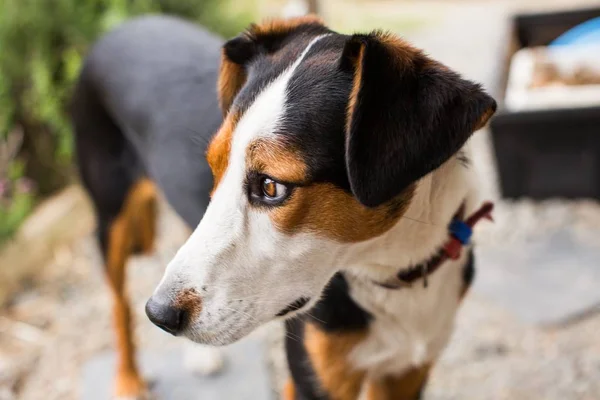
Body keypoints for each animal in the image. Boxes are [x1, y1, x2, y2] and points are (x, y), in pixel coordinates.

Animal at [75, 13, 496, 400]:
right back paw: (129, 381)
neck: (393, 272)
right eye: (214, 169)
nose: (160, 314)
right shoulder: (316, 379)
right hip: (110, 217)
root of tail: (125, 24)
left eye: (271, 186)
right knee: (118, 305)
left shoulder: (406, 374)